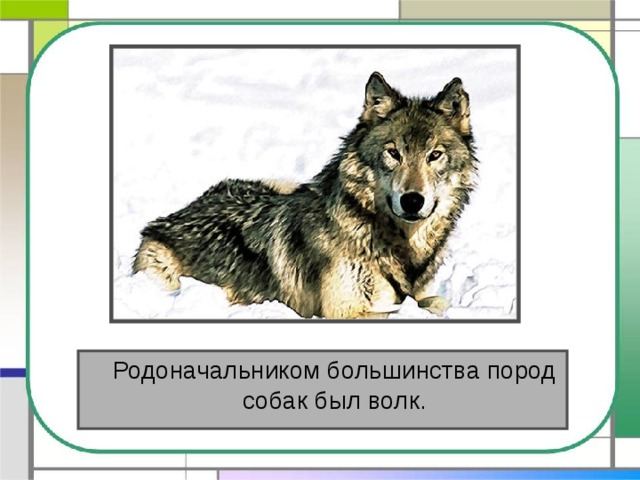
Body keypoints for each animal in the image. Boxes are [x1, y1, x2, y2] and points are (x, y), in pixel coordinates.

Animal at [132, 72, 477, 319]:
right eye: (393, 153)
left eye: (434, 155)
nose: (412, 201)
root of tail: (177, 213)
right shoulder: (345, 311)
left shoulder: (420, 293)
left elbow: (436, 302)